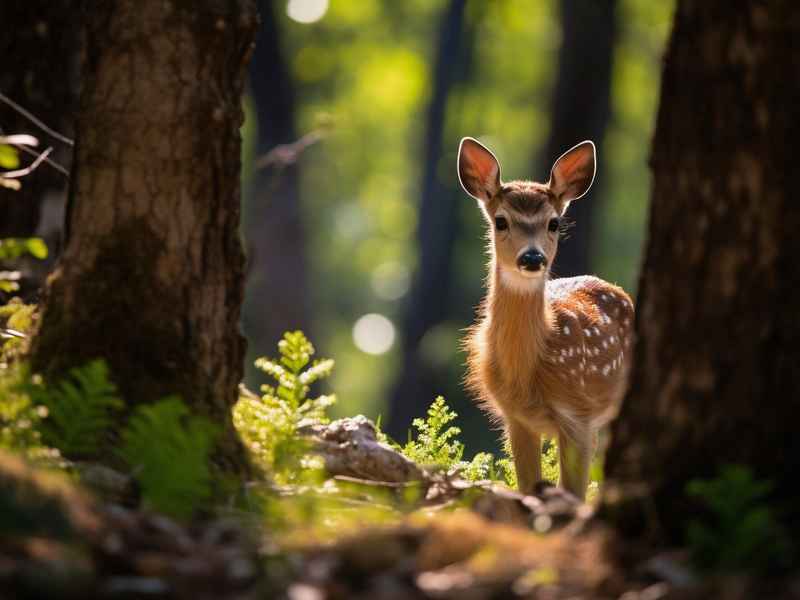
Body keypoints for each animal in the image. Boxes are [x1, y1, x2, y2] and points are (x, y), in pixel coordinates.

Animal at [458, 137, 634, 500]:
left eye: (553, 223)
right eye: (501, 221)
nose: (532, 257)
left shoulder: (578, 414)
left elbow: (574, 492)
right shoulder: (515, 417)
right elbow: (528, 487)